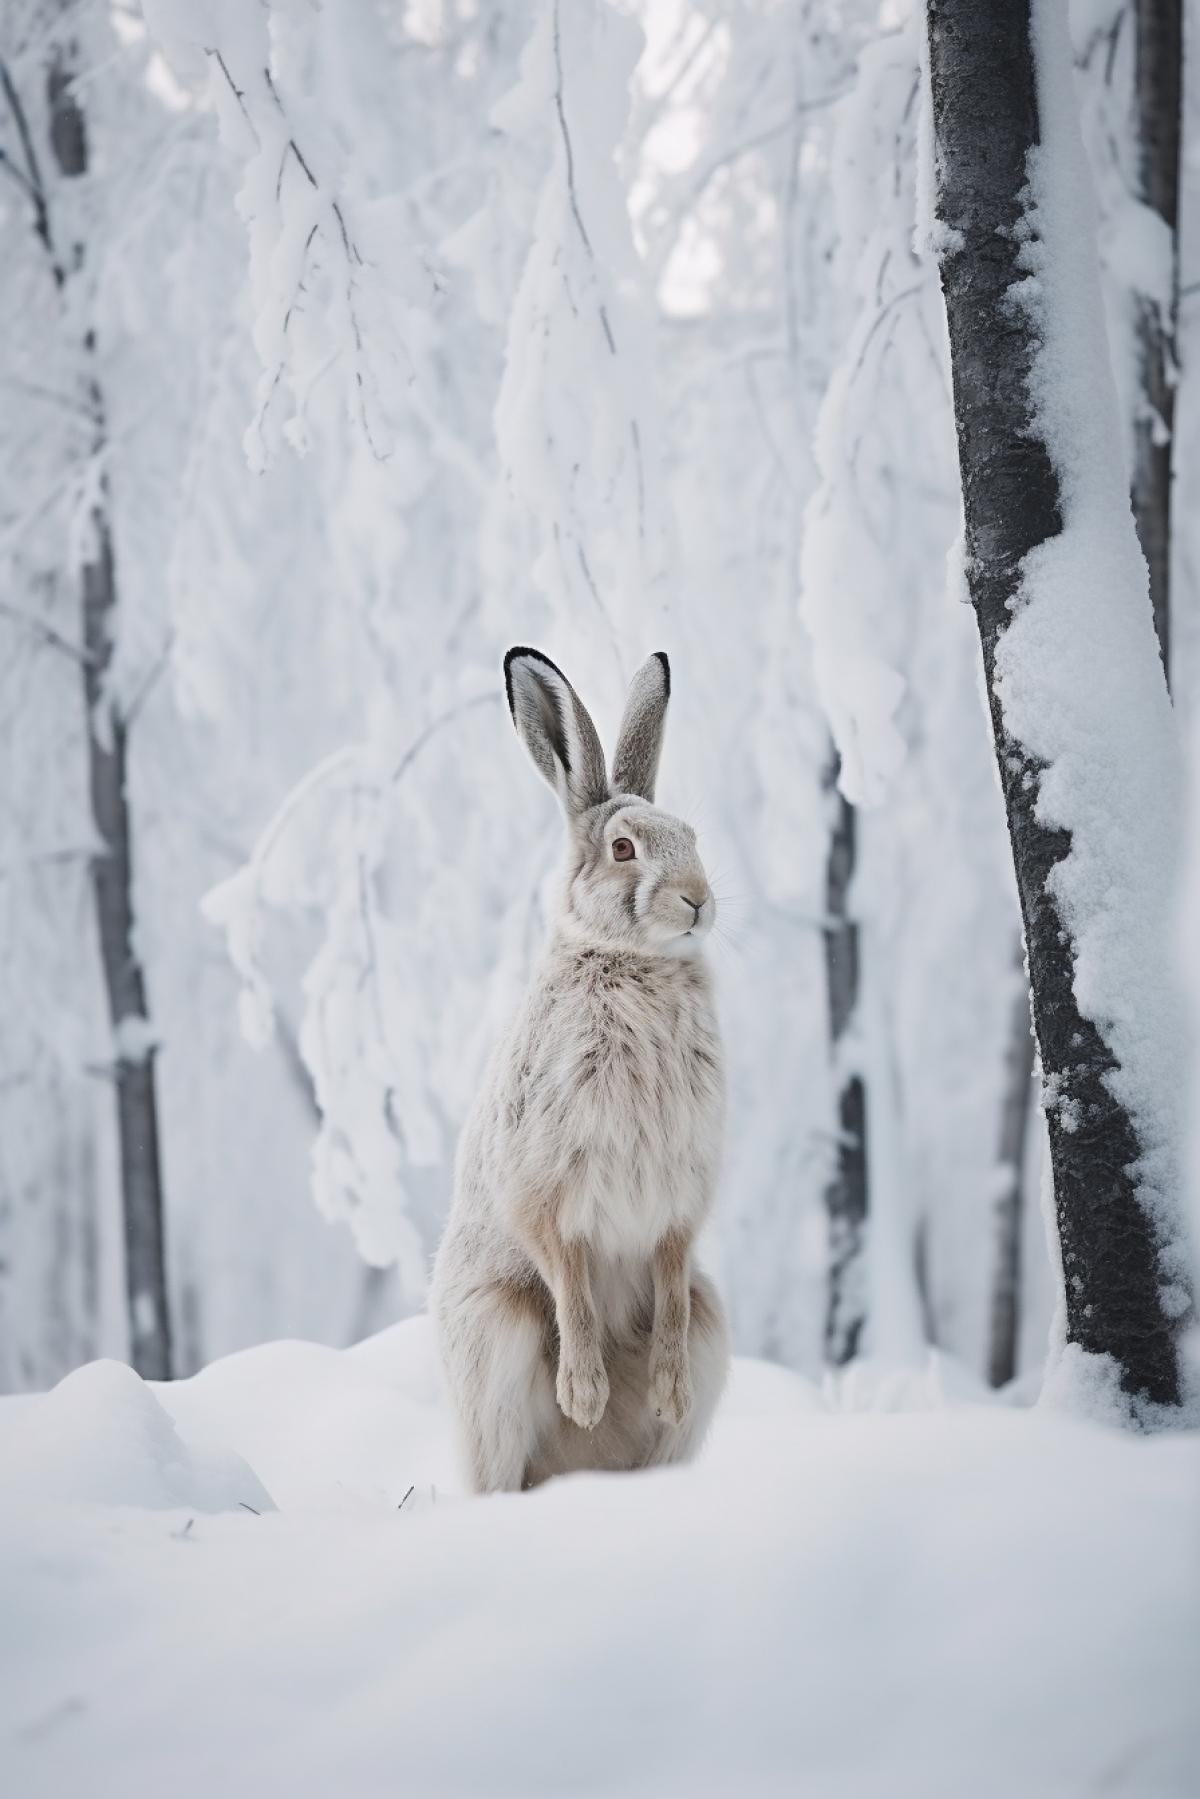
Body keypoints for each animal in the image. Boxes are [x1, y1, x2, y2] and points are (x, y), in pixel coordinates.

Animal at [431, 646, 729, 1494]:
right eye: (624, 849)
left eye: (691, 835)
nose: (699, 900)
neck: (631, 962)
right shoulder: (543, 1182)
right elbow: (569, 1278)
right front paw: (586, 1394)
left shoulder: (681, 1200)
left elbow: (668, 1276)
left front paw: (663, 1388)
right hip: (495, 1332)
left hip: (713, 1323)